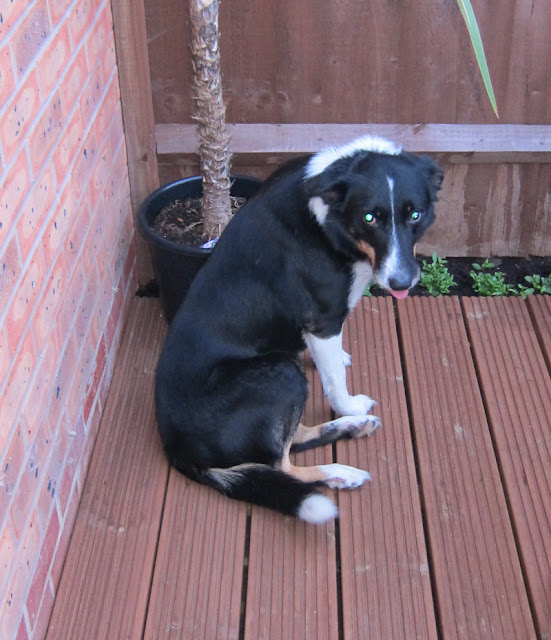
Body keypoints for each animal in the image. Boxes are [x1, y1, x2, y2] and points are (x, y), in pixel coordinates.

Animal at [155, 136, 443, 523]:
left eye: (415, 214)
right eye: (369, 218)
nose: (401, 283)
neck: (328, 217)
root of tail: (177, 450)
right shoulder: (323, 320)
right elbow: (334, 380)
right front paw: (348, 405)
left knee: (294, 439)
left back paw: (349, 428)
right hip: (281, 374)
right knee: (282, 465)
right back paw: (341, 470)